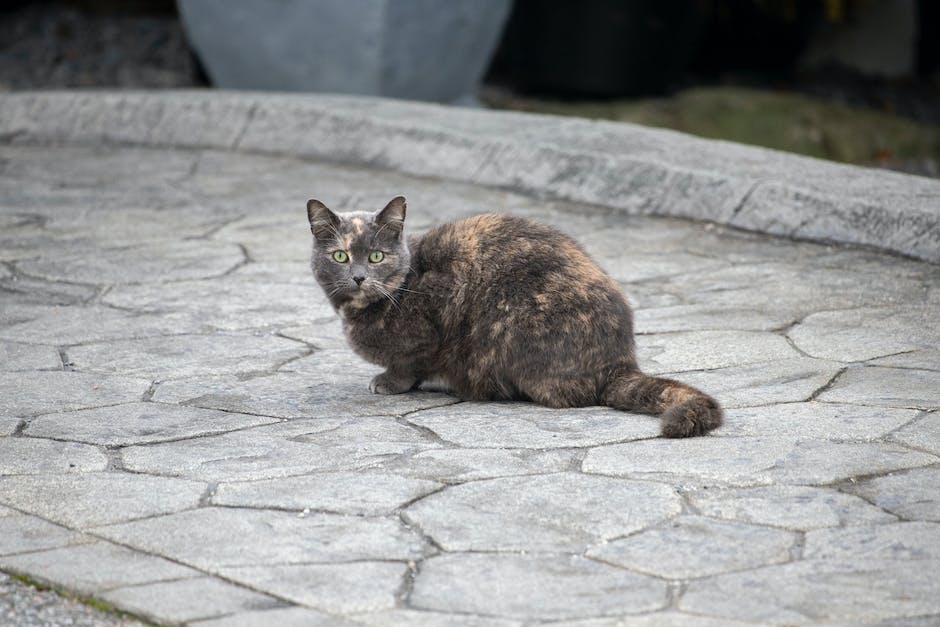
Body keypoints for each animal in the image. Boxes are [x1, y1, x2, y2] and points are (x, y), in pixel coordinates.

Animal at [304, 195, 724, 436]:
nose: (359, 277)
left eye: (376, 256)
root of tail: (618, 363)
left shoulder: (437, 315)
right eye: (340, 255)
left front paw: (390, 381)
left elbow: (409, 363)